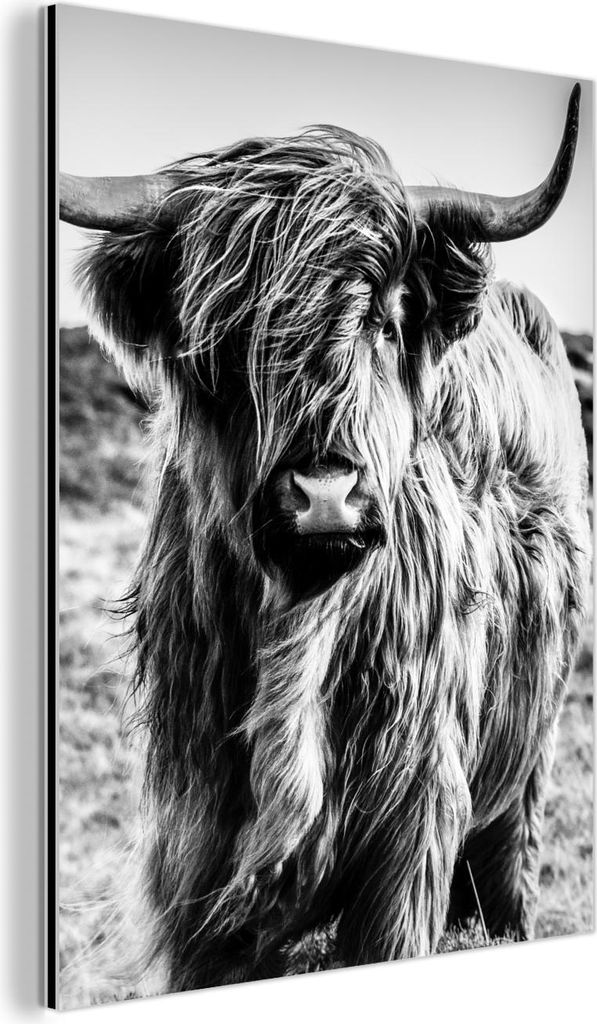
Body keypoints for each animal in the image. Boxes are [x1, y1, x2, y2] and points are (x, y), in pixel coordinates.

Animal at [60, 84, 590, 991]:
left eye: (381, 319)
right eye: (225, 337)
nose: (324, 496)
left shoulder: (410, 836)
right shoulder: (194, 852)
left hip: (525, 766)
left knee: (507, 883)